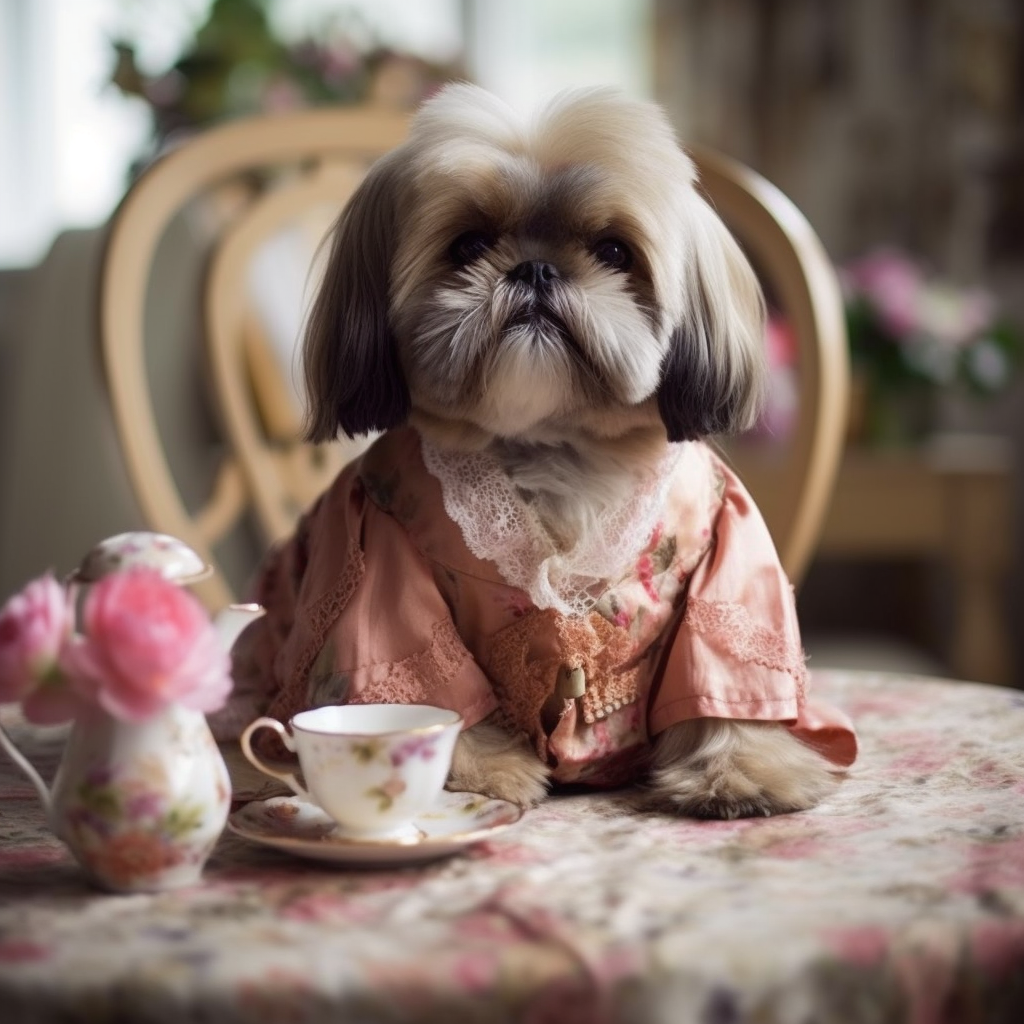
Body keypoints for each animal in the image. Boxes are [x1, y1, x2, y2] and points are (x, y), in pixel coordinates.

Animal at [234, 83, 856, 819]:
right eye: (468, 243)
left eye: (614, 251)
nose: (533, 268)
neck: (555, 450)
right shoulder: (376, 562)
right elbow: (427, 678)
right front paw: (475, 766)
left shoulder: (725, 557)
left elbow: (721, 669)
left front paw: (744, 768)